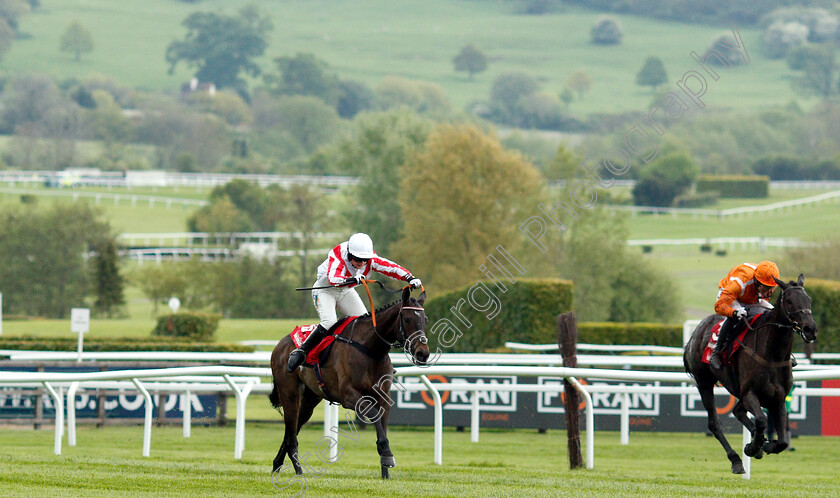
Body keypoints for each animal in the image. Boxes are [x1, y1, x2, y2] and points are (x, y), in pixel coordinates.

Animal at [270, 288, 430, 478]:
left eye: (425, 319)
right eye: (407, 319)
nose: (423, 353)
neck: (371, 350)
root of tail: (280, 345)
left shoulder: (383, 397)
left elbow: (382, 424)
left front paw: (385, 470)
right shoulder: (348, 395)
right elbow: (373, 414)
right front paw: (387, 454)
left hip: (310, 400)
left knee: (291, 432)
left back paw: (277, 465)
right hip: (290, 394)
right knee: (291, 434)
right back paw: (299, 471)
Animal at [684, 274, 816, 472]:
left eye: (809, 300)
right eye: (790, 301)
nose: (810, 329)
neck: (772, 355)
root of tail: (695, 333)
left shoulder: (778, 397)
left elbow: (782, 441)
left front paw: (765, 444)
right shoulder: (750, 392)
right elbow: (761, 420)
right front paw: (753, 447)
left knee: (738, 411)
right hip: (704, 383)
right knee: (715, 423)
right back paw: (736, 459)